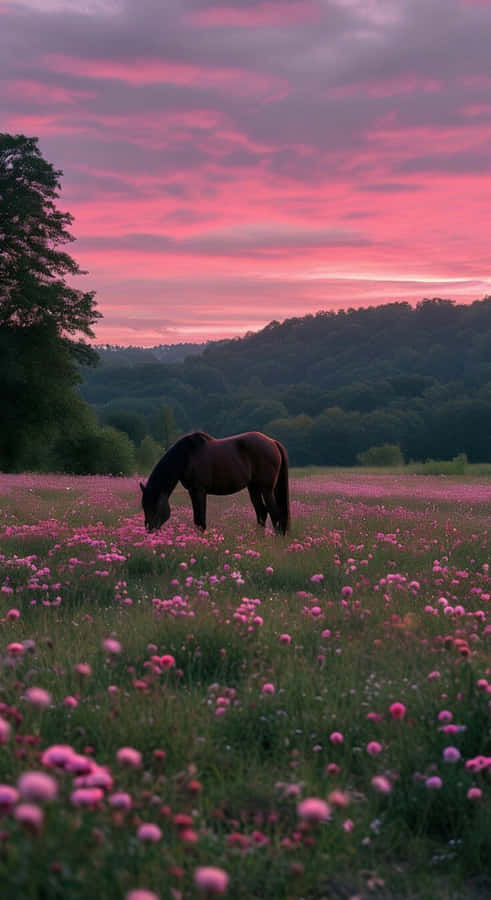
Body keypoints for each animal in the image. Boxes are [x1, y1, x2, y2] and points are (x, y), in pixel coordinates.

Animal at [140, 430, 290, 534]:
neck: (186, 457)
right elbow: (198, 519)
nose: (150, 530)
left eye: (153, 505)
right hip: (253, 488)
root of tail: (272, 442)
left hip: (266, 489)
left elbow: (200, 520)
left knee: (275, 514)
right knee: (262, 513)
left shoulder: (199, 491)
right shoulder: (193, 491)